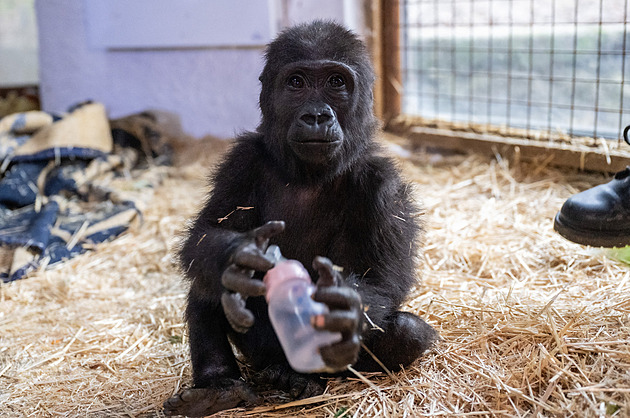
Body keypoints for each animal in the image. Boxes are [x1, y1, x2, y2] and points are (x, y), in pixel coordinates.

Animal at [164, 20, 440, 418]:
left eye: (336, 82)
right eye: (296, 83)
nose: (316, 116)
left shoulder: (384, 185)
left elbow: (386, 280)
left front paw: (343, 306)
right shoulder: (240, 161)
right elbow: (206, 236)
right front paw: (237, 257)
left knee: (407, 332)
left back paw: (305, 378)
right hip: (259, 353)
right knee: (207, 283)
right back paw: (219, 388)